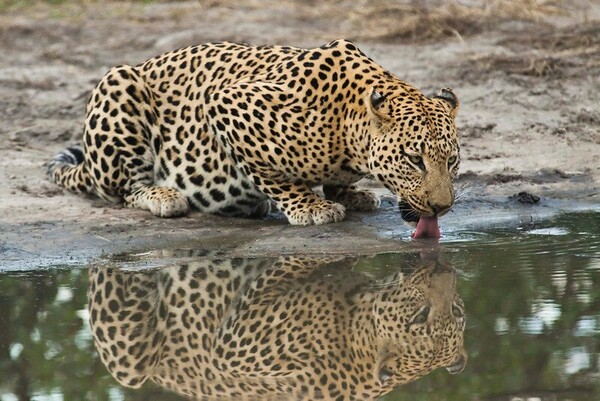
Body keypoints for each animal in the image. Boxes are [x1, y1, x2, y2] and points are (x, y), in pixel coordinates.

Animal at [47, 39, 460, 227]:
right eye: (414, 160)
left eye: (452, 161)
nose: (442, 207)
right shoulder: (225, 102)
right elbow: (272, 175)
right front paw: (310, 206)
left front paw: (348, 193)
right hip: (119, 83)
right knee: (123, 190)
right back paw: (163, 196)